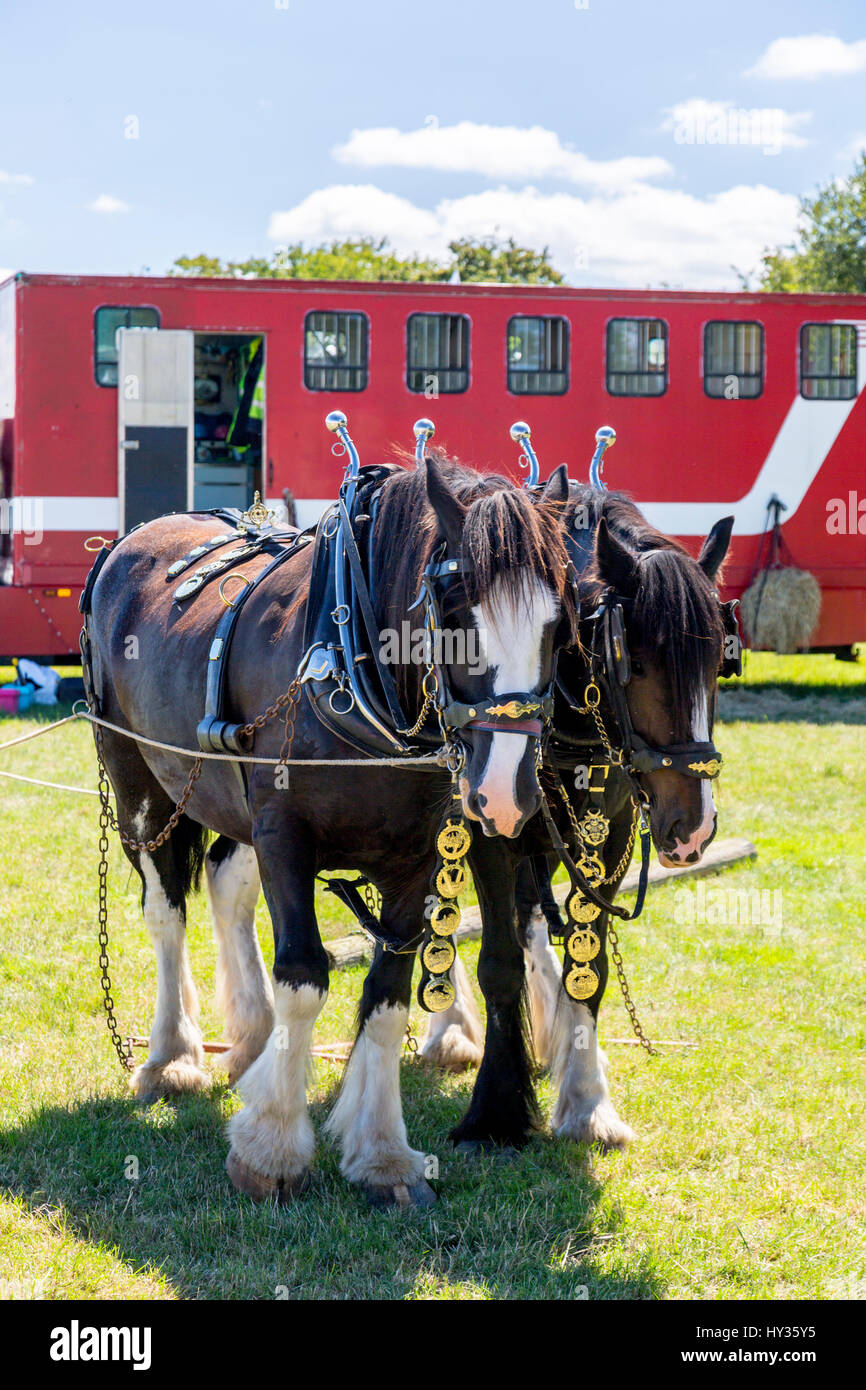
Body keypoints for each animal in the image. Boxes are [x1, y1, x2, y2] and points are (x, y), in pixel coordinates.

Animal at [419, 478, 733, 1150]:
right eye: (634, 661)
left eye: (719, 663)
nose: (692, 830)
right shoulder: (490, 826)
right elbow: (498, 962)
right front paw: (496, 1110)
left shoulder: (607, 834)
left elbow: (586, 963)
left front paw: (586, 1098)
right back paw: (450, 1028)